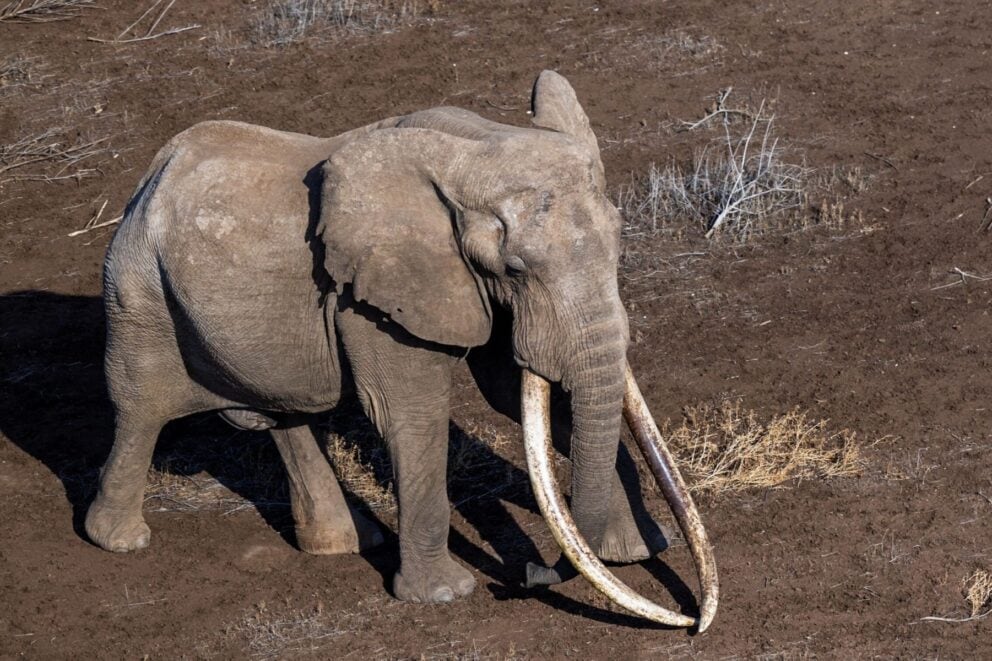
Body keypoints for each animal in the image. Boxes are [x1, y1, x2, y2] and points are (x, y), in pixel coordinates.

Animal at [84, 70, 717, 629]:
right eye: (514, 268)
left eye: (619, 245)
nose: (532, 573)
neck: (477, 143)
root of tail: (152, 174)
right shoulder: (373, 293)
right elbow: (412, 414)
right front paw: (443, 596)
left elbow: (524, 394)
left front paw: (635, 552)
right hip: (138, 288)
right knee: (140, 408)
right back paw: (117, 540)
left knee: (286, 415)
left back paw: (344, 543)